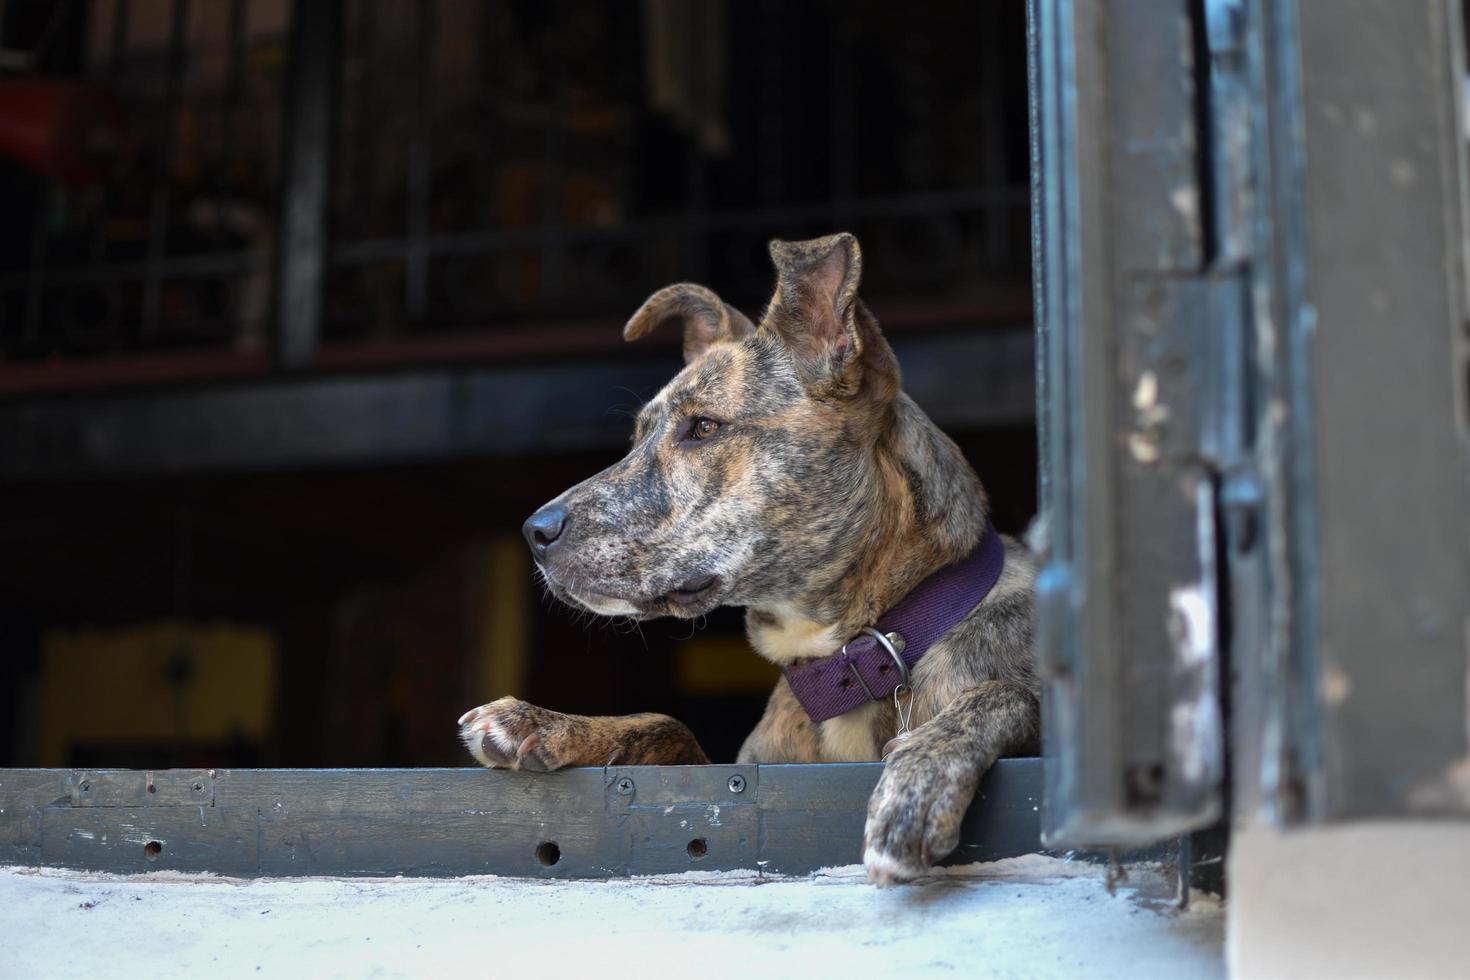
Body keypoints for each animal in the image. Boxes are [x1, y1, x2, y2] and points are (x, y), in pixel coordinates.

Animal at [452, 233, 1040, 887]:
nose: (535, 531)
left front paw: (917, 784)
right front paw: (542, 722)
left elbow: (1004, 695)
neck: (852, 658)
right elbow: (669, 723)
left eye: (704, 427)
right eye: (637, 437)